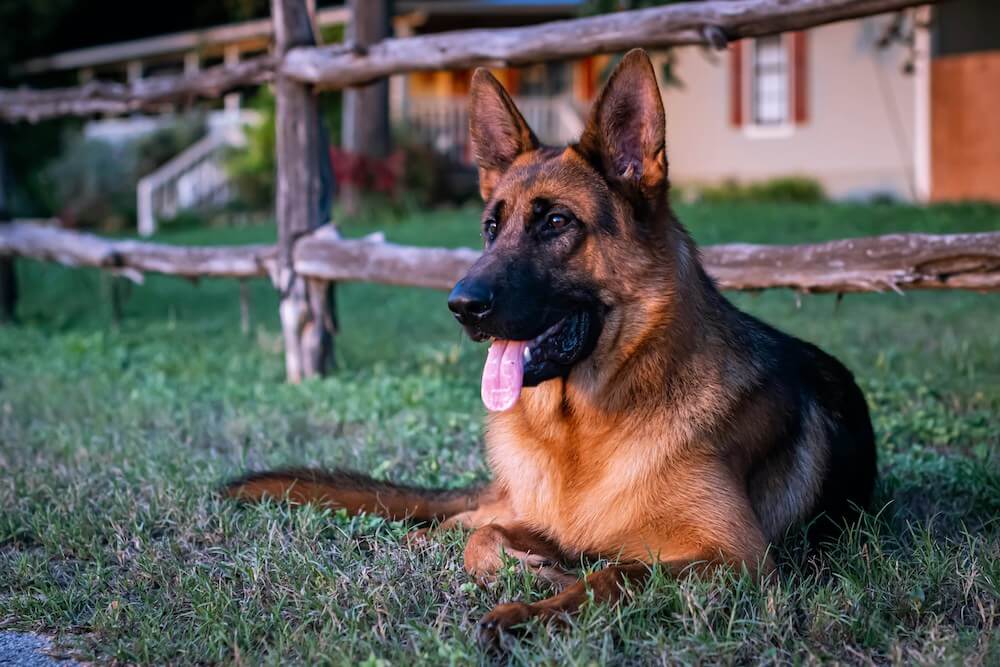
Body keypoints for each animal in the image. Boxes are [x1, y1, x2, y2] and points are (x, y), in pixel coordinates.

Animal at [229, 48, 876, 640]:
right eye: (492, 228)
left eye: (557, 223)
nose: (461, 306)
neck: (581, 432)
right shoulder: (539, 518)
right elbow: (487, 539)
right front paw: (533, 569)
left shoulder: (734, 556)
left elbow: (617, 573)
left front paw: (527, 609)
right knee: (454, 523)